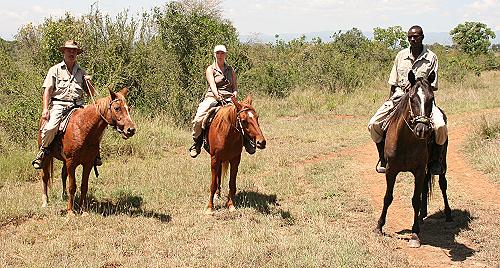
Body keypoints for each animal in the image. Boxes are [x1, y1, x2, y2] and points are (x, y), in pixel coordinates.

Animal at [39, 88, 136, 216]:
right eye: (117, 108)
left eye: (128, 108)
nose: (131, 130)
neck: (83, 129)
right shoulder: (71, 163)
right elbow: (72, 186)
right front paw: (70, 211)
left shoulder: (88, 163)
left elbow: (84, 186)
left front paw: (83, 210)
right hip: (47, 157)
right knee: (45, 177)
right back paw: (45, 202)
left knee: (63, 174)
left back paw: (64, 196)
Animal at [374, 70, 452, 248]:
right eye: (411, 98)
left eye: (431, 98)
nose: (422, 129)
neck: (406, 140)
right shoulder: (391, 170)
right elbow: (388, 197)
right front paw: (379, 227)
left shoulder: (419, 170)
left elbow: (415, 199)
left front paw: (415, 234)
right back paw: (422, 215)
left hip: (442, 162)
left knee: (442, 184)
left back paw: (448, 214)